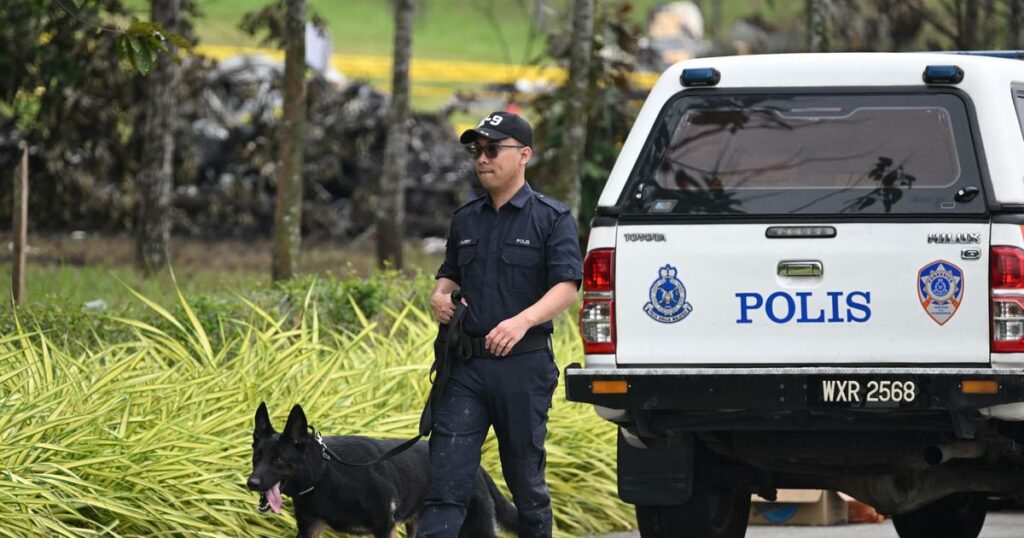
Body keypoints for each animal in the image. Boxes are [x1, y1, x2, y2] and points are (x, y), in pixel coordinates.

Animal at [247, 401, 520, 536]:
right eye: (257, 456)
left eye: (279, 459)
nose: (251, 483)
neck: (324, 475)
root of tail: (479, 469)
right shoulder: (310, 529)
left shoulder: (384, 526)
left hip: (474, 529)